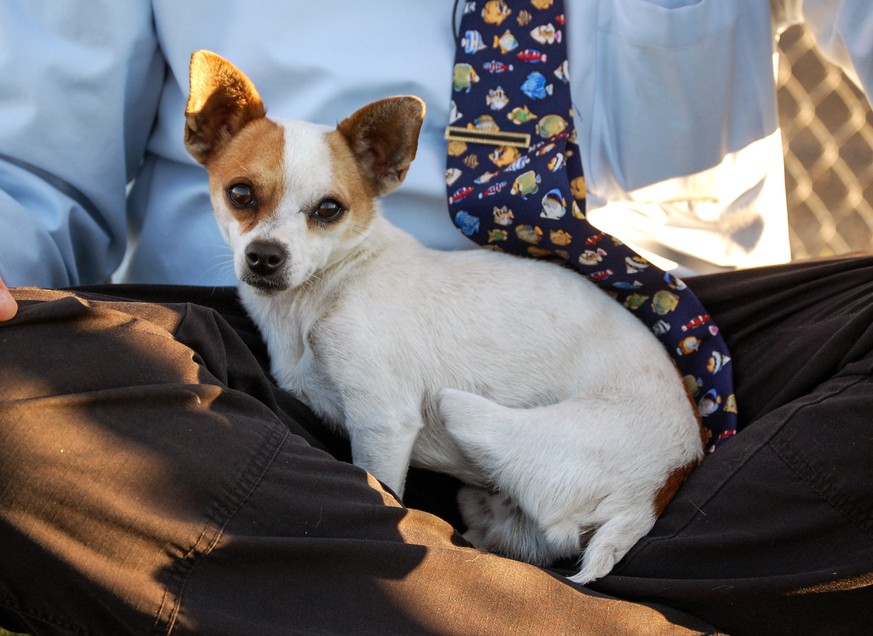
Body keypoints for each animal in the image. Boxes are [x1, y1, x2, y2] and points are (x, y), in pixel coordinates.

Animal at [182, 51, 700, 588]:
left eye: (329, 209)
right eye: (241, 194)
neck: (326, 289)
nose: (265, 256)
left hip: (467, 409)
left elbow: (381, 486)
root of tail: (664, 481)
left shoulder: (384, 423)